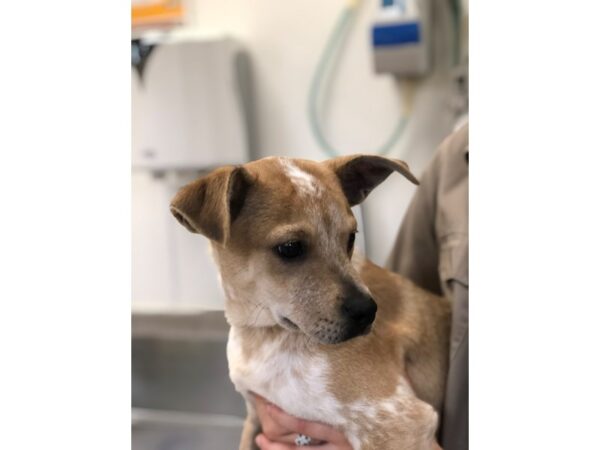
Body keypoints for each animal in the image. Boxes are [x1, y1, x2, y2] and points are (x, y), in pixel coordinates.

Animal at [169, 156, 450, 450]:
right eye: (290, 248)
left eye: (351, 237)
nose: (368, 312)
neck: (262, 334)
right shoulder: (255, 415)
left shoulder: (400, 421)